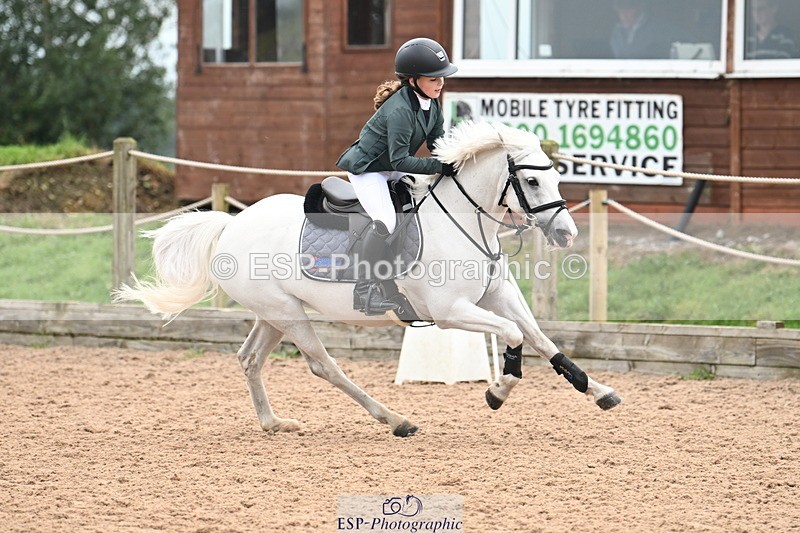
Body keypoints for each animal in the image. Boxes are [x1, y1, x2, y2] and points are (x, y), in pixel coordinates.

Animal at [116, 121, 622, 437]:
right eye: (532, 183)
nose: (566, 233)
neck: (464, 222)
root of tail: (230, 225)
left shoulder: (498, 296)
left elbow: (541, 338)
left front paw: (598, 391)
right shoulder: (450, 312)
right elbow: (515, 335)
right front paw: (497, 391)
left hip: (273, 313)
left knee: (250, 359)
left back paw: (273, 424)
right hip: (288, 314)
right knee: (323, 365)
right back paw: (396, 419)